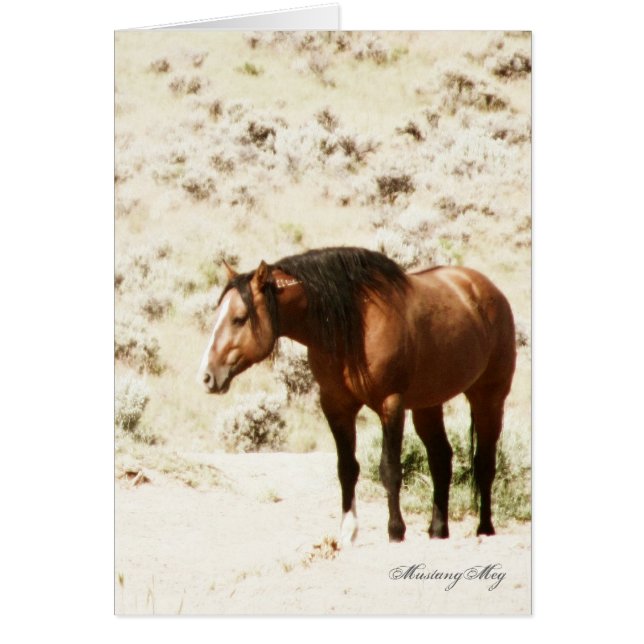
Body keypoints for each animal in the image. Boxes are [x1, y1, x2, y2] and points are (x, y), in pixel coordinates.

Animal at [197, 247, 516, 545]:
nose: (207, 376)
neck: (352, 325)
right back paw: (438, 530)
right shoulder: (337, 405)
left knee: (484, 462)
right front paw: (348, 531)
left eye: (239, 319)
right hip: (428, 404)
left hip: (488, 397)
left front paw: (395, 531)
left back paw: (485, 528)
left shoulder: (391, 403)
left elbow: (390, 469)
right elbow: (347, 468)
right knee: (441, 459)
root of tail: (488, 290)